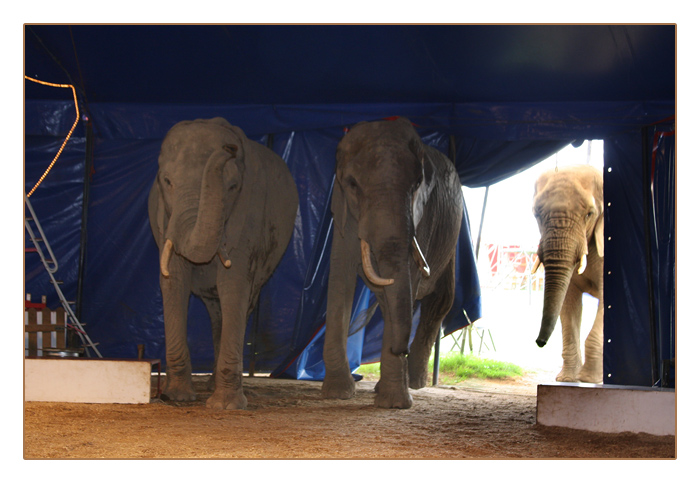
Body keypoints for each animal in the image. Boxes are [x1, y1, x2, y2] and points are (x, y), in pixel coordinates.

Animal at [148, 117, 298, 408]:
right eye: (167, 181)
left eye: (232, 188)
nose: (230, 149)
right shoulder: (165, 219)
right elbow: (173, 281)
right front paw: (177, 397)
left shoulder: (248, 215)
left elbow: (234, 285)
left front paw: (226, 405)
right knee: (215, 309)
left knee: (239, 303)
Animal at [322, 117, 464, 408]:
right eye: (352, 184)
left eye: (418, 183)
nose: (401, 349)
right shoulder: (343, 212)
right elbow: (340, 276)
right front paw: (337, 393)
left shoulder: (423, 217)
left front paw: (394, 403)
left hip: (453, 238)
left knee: (439, 301)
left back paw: (415, 383)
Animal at [532, 164, 604, 384]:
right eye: (536, 214)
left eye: (589, 214)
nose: (539, 342)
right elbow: (569, 301)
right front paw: (568, 379)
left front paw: (589, 380)